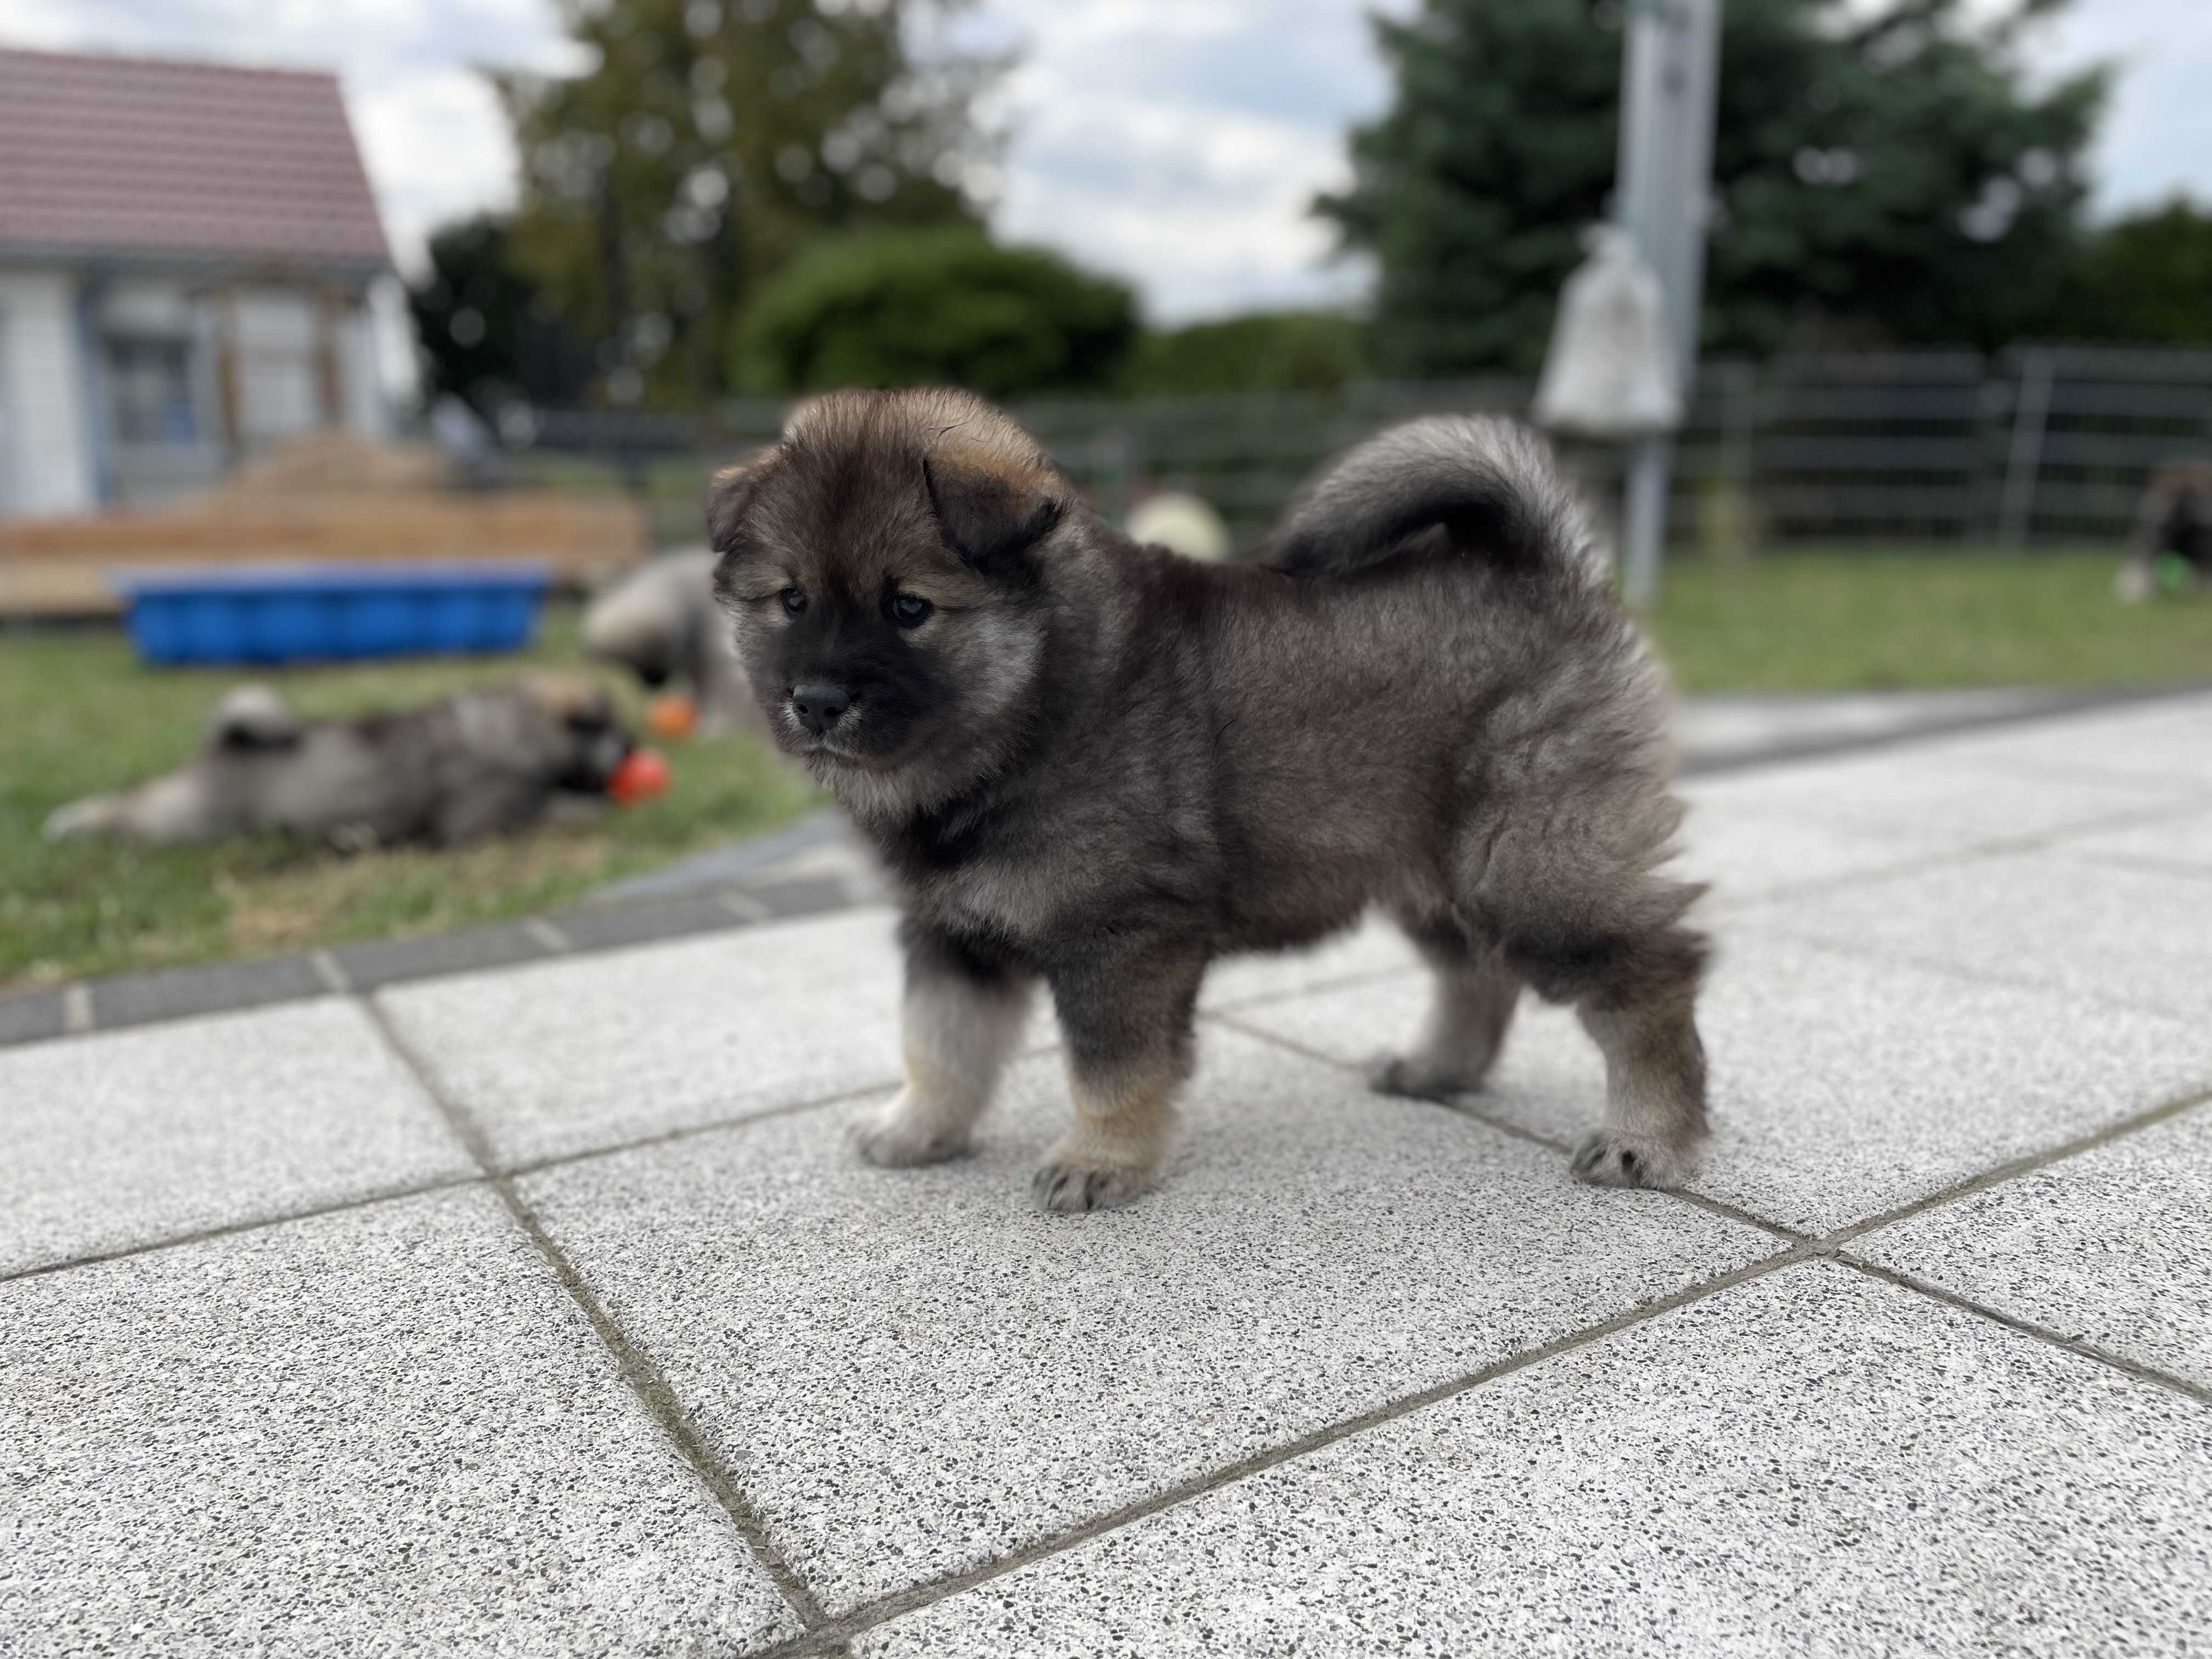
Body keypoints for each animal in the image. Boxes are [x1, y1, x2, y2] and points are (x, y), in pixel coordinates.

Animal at [45, 674, 632, 848]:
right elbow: (550, 804)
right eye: (604, 728)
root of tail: (228, 744)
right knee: (134, 813)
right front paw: (589, 807)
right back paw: (73, 823)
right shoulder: (482, 818)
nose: (633, 746)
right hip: (191, 819)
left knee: (138, 795)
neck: (510, 727)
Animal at [709, 389, 1706, 1213]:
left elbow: (1109, 1068)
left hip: (1532, 859)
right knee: (1477, 973)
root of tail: (1547, 569)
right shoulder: (950, 933)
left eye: (909, 607)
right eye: (791, 600)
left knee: (1650, 974)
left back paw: (1647, 1134)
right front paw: (916, 1127)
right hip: (1434, 869)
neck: (1030, 703)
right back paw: (1435, 1069)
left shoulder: (1118, 939)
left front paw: (1100, 1160)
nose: (816, 701)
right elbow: (938, 1041)